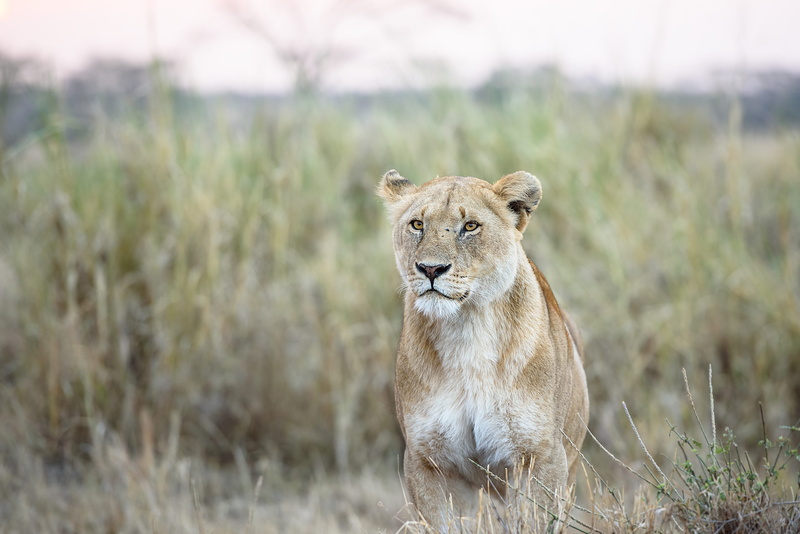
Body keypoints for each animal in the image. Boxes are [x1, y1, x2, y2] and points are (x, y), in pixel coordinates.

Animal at [377, 170, 589, 528]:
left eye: (471, 226)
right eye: (417, 224)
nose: (430, 269)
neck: (466, 329)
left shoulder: (540, 457)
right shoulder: (428, 461)